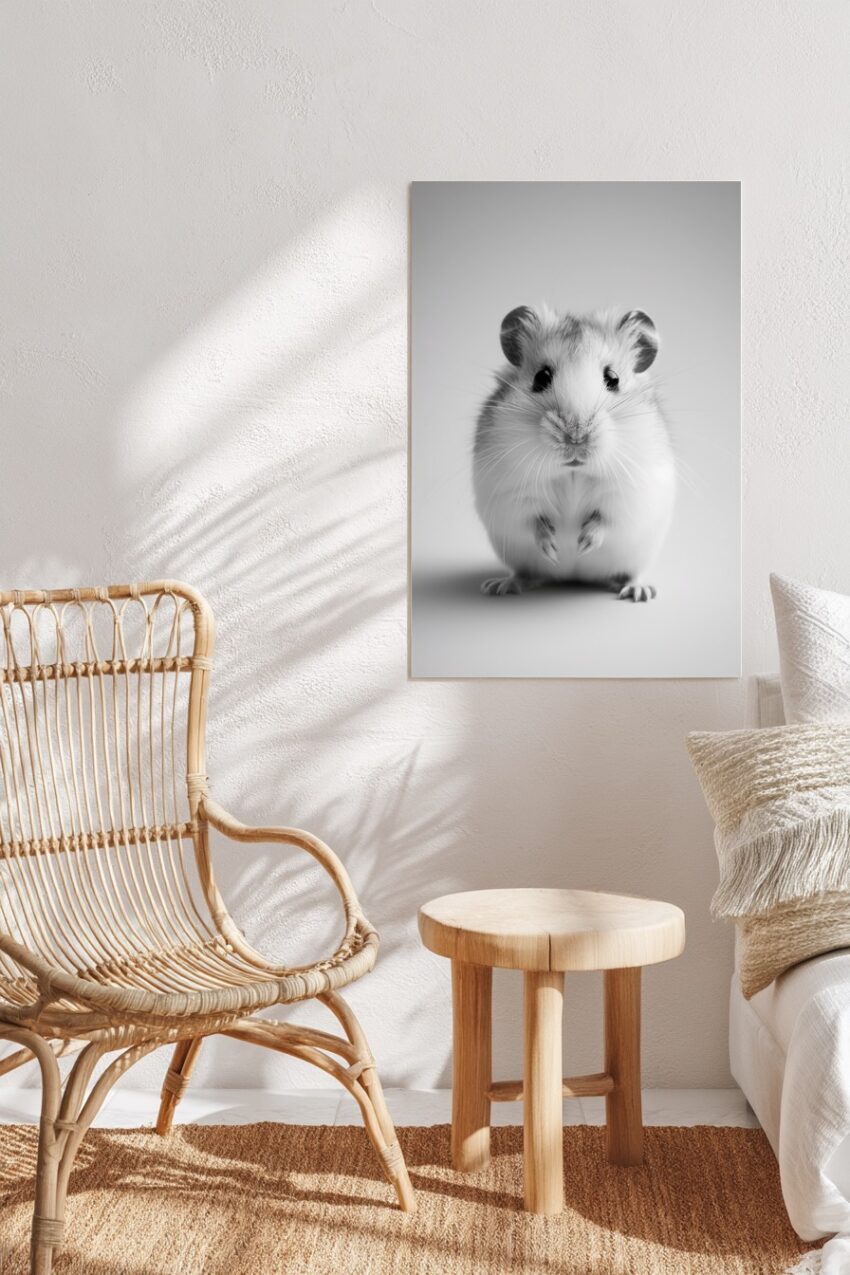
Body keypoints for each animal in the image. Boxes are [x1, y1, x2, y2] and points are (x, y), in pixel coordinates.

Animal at [473, 305, 676, 601]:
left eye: (613, 379)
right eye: (541, 377)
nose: (576, 437)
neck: (573, 471)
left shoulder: (627, 494)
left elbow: (604, 520)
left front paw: (581, 544)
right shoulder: (513, 494)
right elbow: (533, 520)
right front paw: (555, 548)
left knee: (628, 574)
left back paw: (638, 591)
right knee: (526, 574)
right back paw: (501, 586)